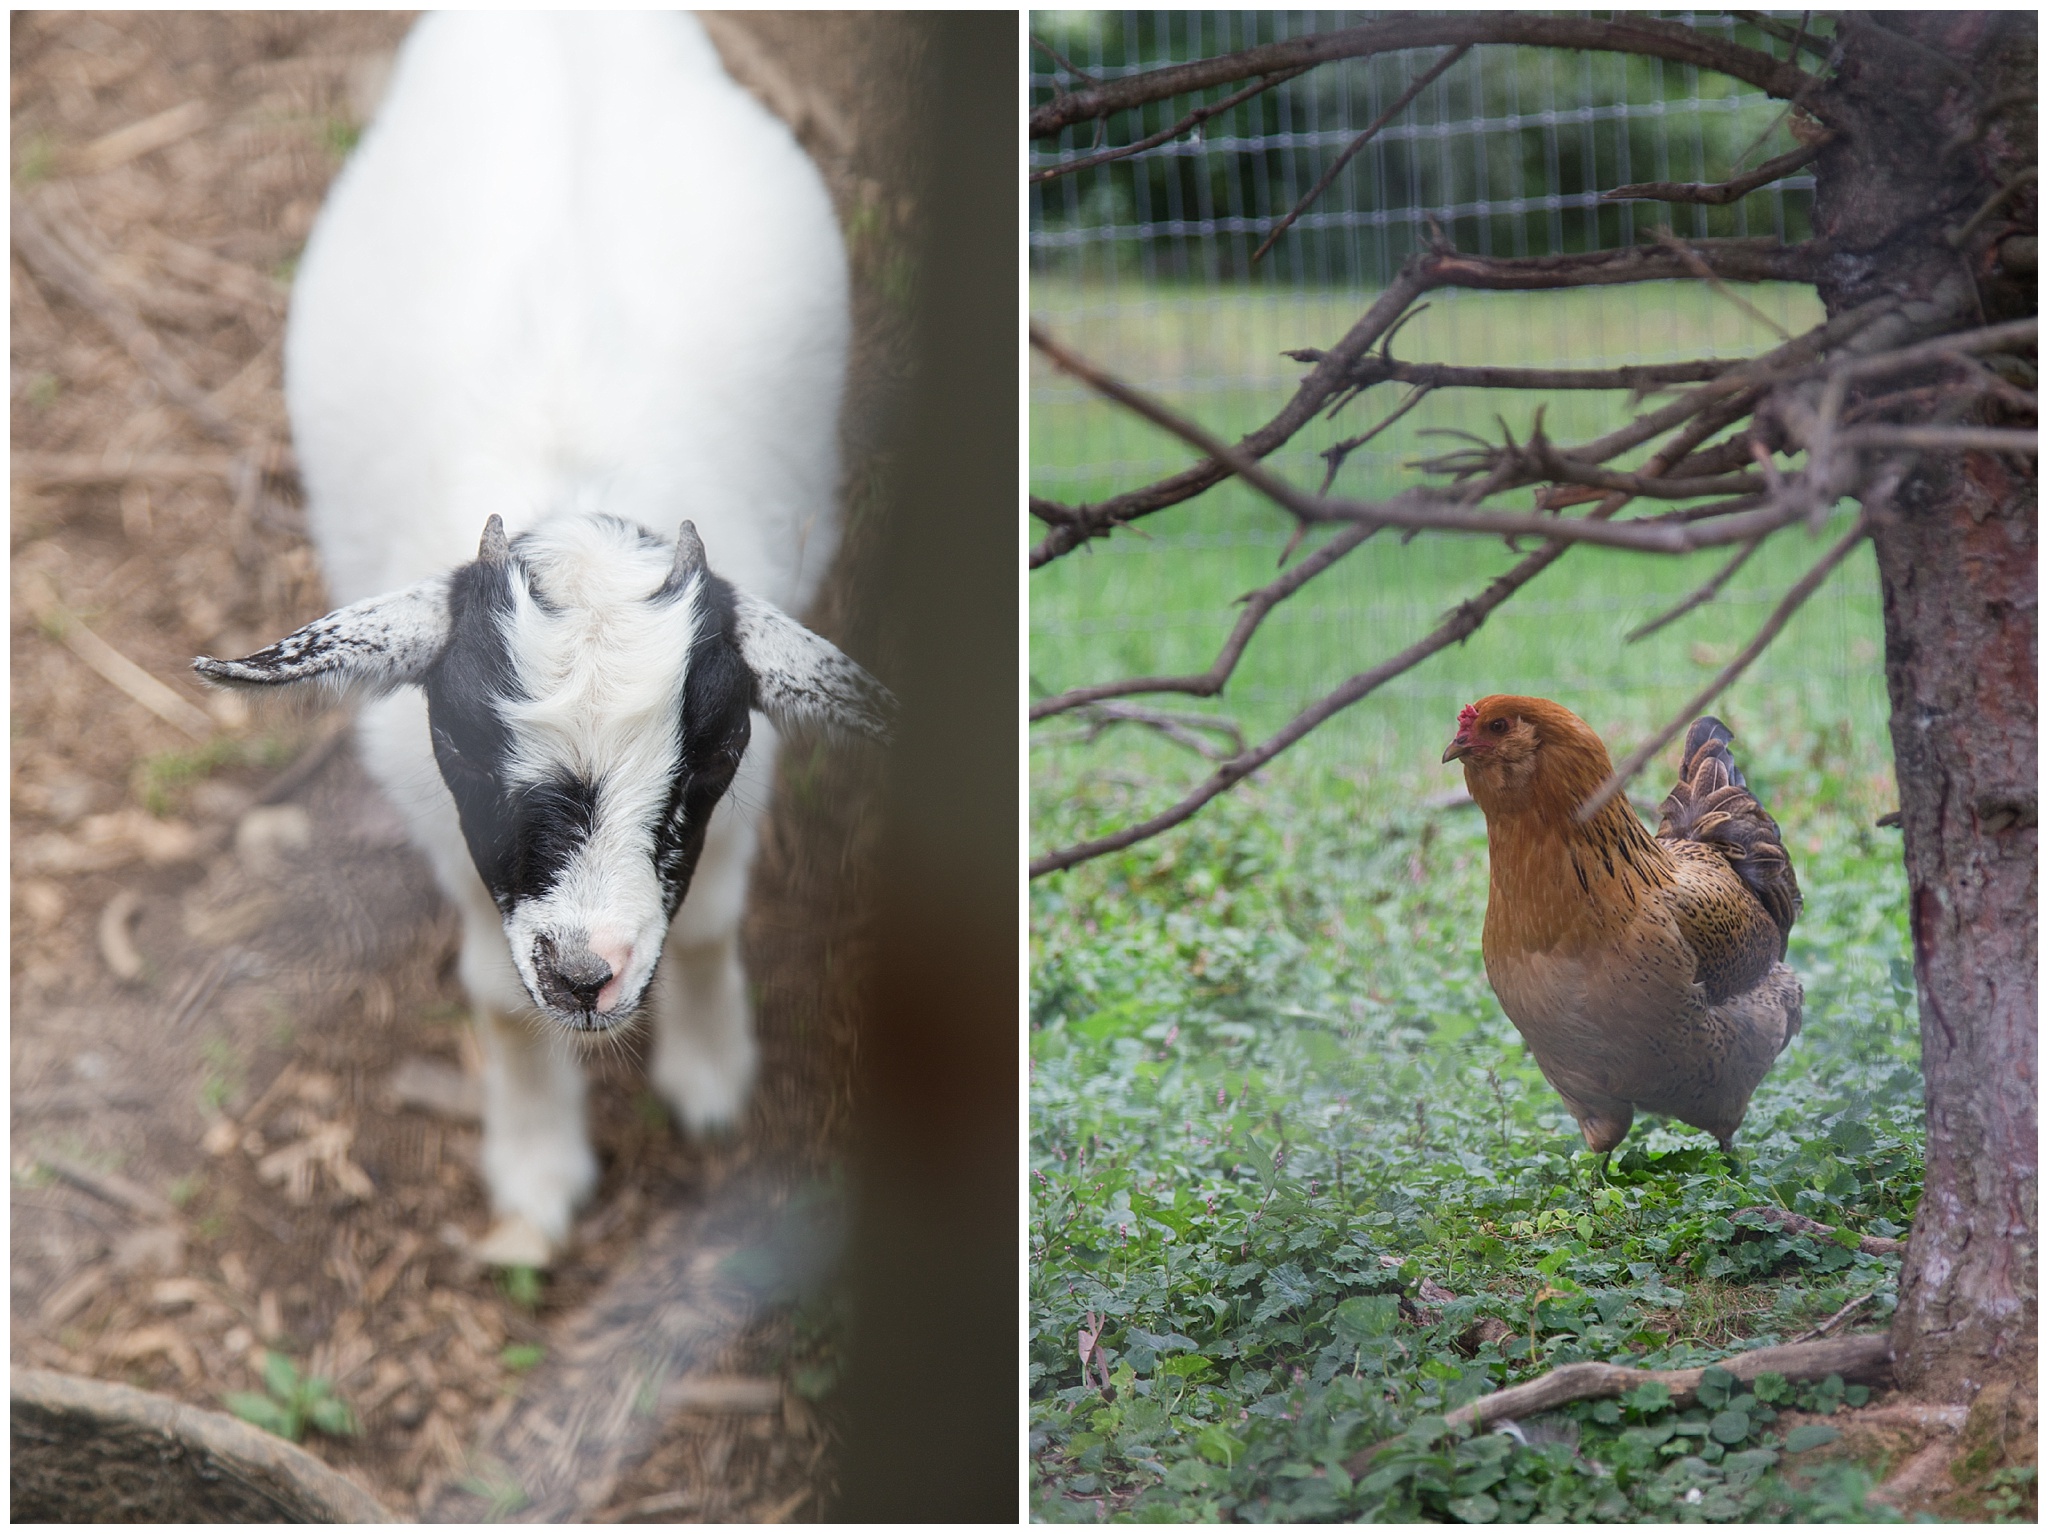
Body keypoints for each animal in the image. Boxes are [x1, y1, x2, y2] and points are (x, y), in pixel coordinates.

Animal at [197, 11, 888, 1261]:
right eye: (465, 743)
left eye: (705, 754)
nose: (581, 970)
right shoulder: (448, 827)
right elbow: (489, 993)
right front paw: (532, 1167)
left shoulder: (745, 794)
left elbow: (706, 930)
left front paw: (711, 1073)